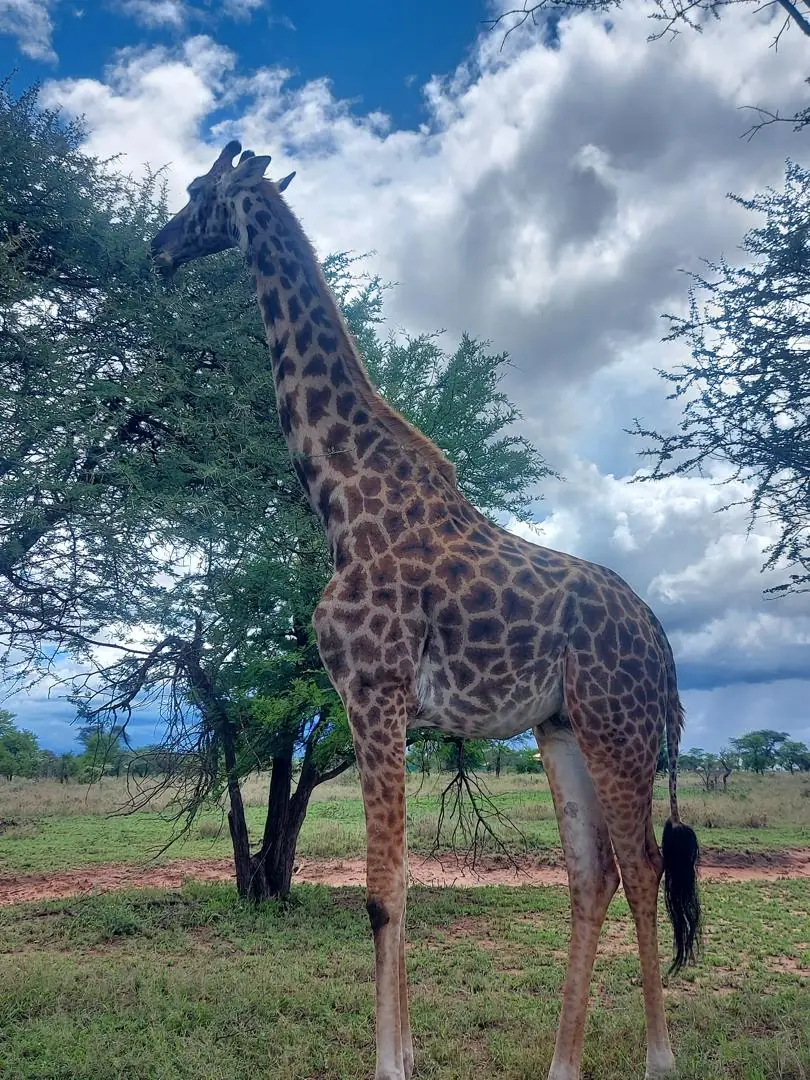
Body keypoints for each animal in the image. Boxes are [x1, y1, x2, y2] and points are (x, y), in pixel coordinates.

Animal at [151, 141, 702, 1080]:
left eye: (196, 193)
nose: (157, 248)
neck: (344, 500)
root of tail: (664, 652)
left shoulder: (373, 694)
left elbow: (382, 893)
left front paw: (390, 1062)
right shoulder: (383, 707)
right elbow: (394, 889)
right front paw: (403, 1053)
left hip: (617, 729)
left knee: (643, 868)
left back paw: (660, 1057)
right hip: (559, 728)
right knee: (591, 874)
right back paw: (561, 1064)